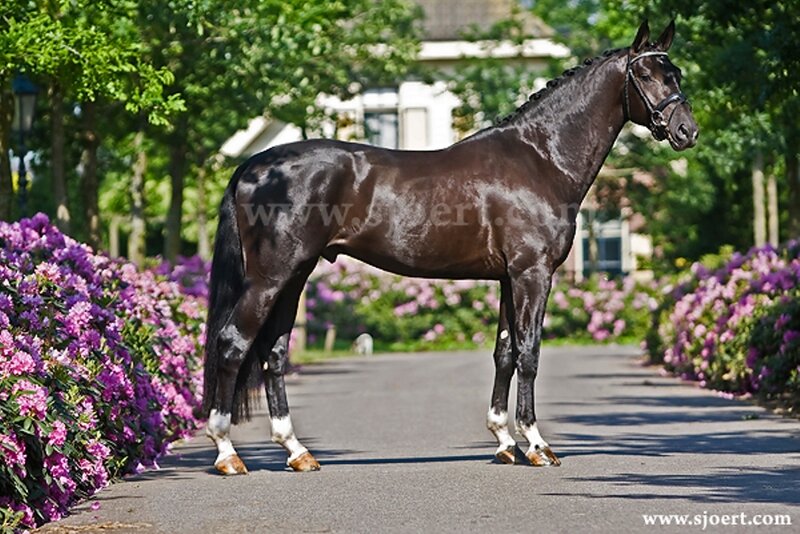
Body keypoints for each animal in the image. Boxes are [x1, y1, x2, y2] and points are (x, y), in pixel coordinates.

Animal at [202, 20, 698, 475]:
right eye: (647, 75)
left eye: (676, 74)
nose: (686, 132)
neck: (540, 158)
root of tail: (252, 166)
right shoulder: (532, 274)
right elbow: (529, 353)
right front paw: (536, 445)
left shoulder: (508, 278)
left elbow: (504, 353)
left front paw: (504, 442)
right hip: (270, 278)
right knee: (233, 343)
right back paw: (228, 453)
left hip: (294, 276)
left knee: (273, 353)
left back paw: (297, 452)